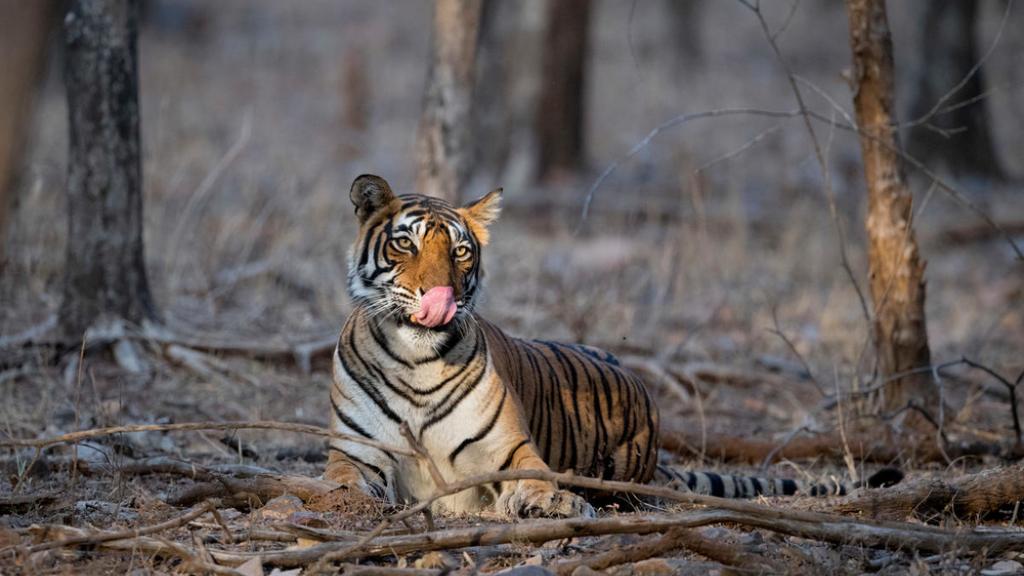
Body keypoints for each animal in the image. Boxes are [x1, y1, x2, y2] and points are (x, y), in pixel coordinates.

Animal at [324, 174, 897, 518]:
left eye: (461, 252)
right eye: (406, 243)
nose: (439, 296)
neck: (417, 358)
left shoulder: (510, 452)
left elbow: (536, 481)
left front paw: (555, 504)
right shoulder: (355, 451)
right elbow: (344, 481)